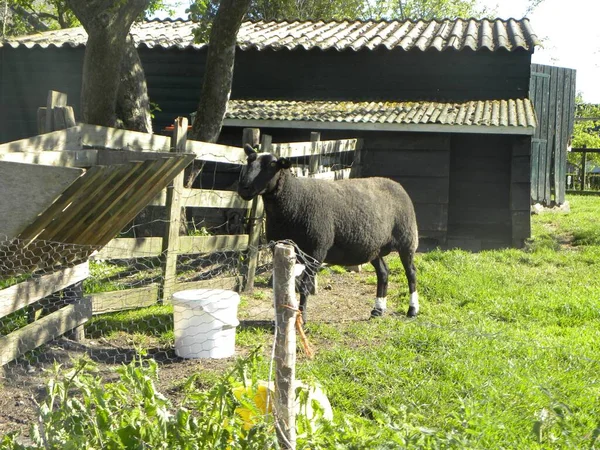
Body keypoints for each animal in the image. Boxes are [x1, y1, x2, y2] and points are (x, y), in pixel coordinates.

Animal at [237, 144, 420, 320]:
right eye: (249, 160)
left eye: (272, 165)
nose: (244, 188)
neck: (293, 201)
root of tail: (396, 184)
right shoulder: (280, 247)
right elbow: (285, 285)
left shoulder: (316, 251)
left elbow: (304, 286)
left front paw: (301, 318)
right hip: (374, 247)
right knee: (383, 272)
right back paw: (378, 310)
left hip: (407, 239)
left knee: (411, 273)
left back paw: (412, 310)